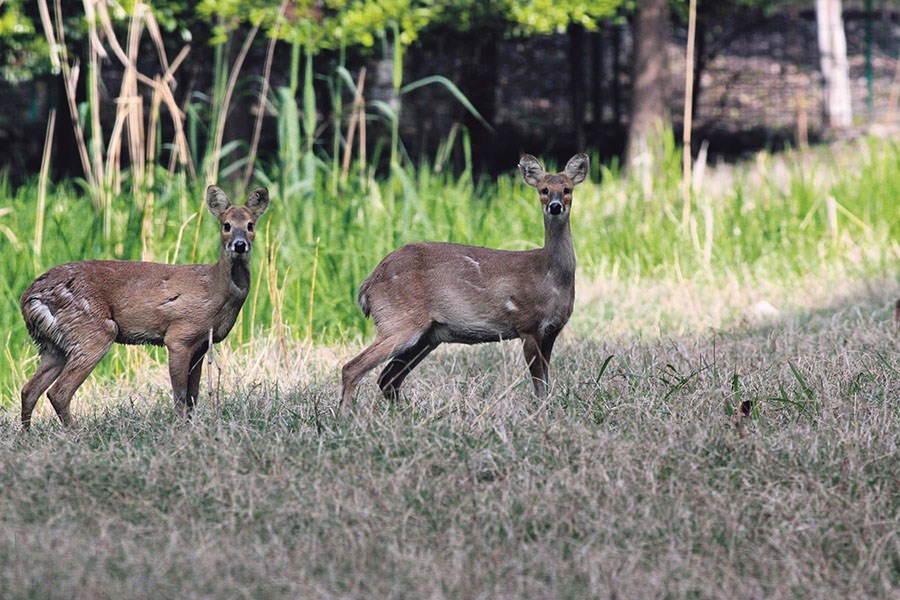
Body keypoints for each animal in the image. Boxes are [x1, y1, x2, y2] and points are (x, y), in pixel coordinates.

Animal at [19, 186, 268, 426]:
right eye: (226, 225)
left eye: (250, 225)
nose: (239, 245)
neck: (217, 289)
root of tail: (28, 299)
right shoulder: (179, 336)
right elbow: (180, 394)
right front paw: (180, 428)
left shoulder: (201, 345)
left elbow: (193, 395)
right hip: (91, 332)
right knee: (59, 392)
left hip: (54, 346)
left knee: (29, 390)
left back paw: (27, 433)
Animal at [340, 152, 592, 414]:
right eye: (544, 189)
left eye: (567, 189)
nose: (555, 206)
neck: (549, 277)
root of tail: (367, 286)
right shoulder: (527, 325)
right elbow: (538, 383)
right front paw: (540, 413)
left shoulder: (552, 330)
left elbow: (545, 380)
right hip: (399, 320)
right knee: (352, 367)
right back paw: (345, 416)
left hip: (427, 336)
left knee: (388, 378)